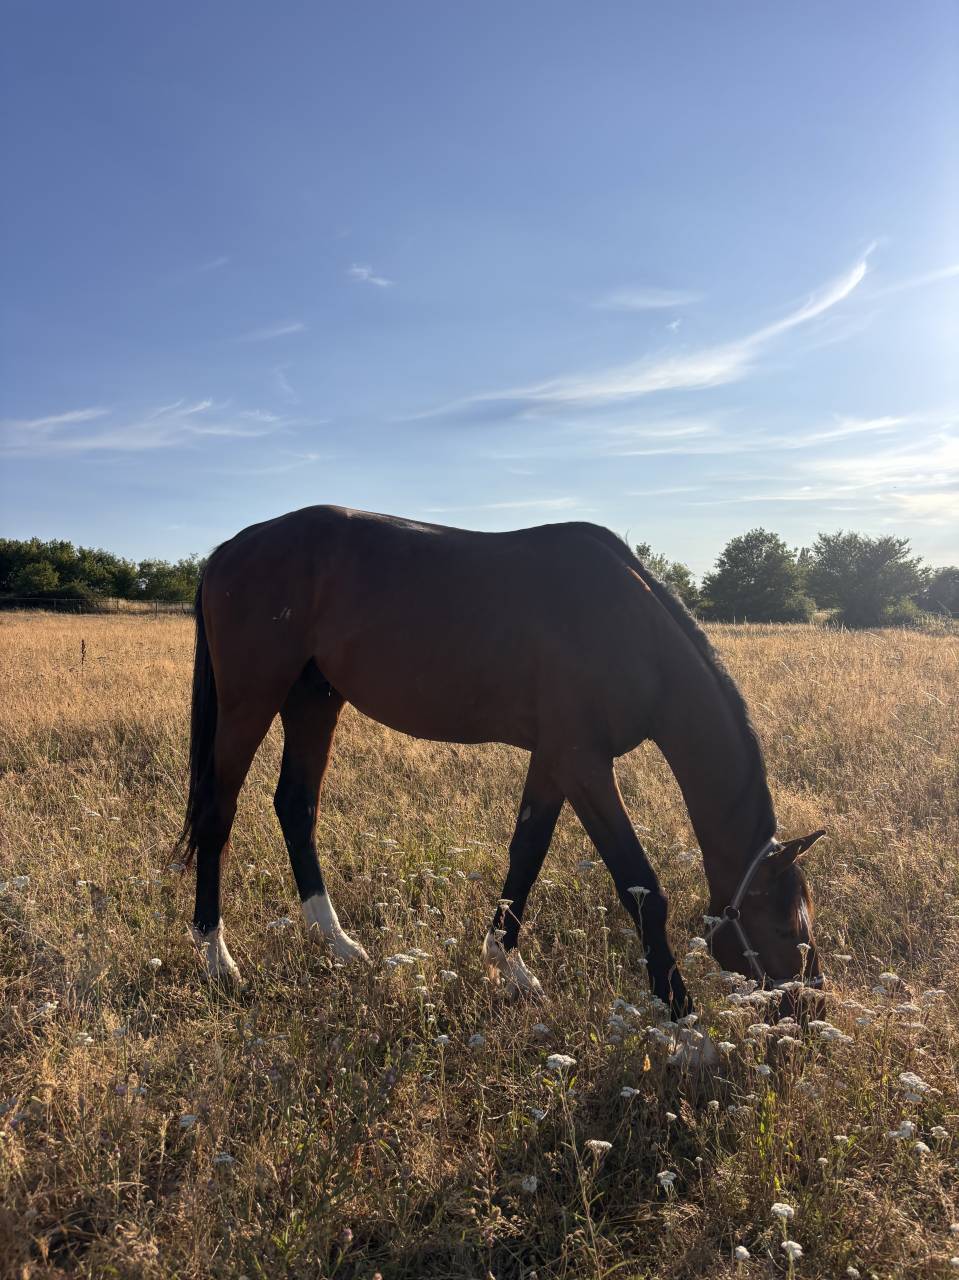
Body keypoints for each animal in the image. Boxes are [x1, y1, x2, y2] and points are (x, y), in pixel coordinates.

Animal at [178, 505, 825, 1021]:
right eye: (786, 926)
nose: (811, 1006)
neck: (629, 630)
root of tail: (231, 548)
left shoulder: (555, 759)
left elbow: (527, 855)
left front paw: (507, 965)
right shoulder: (584, 764)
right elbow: (639, 882)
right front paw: (679, 1009)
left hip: (313, 699)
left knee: (296, 806)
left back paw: (337, 942)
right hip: (250, 701)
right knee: (218, 814)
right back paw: (217, 958)